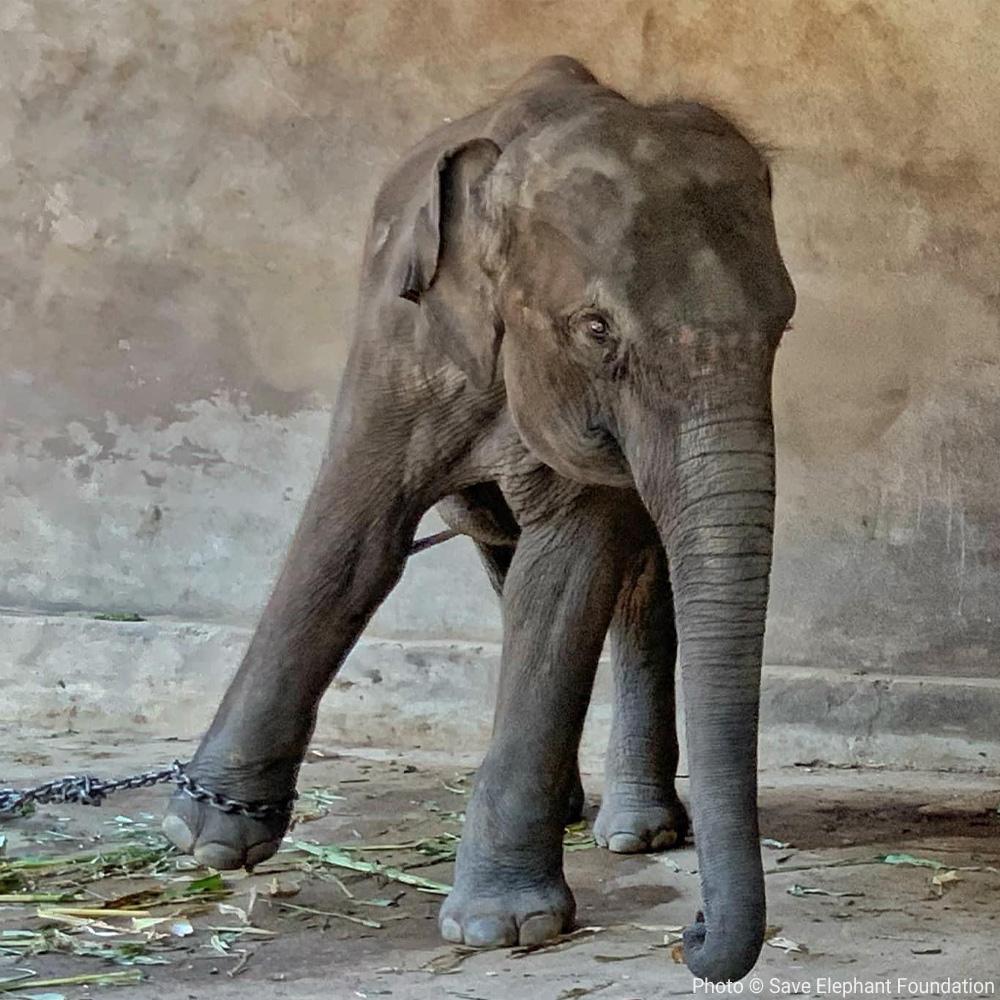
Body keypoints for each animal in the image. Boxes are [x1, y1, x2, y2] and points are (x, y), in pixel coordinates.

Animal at [161, 55, 796, 983]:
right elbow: (356, 534)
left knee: (627, 589)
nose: (694, 931)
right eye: (595, 328)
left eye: (784, 324)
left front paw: (502, 929)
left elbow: (567, 575)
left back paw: (635, 833)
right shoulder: (402, 329)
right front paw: (205, 839)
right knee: (509, 559)